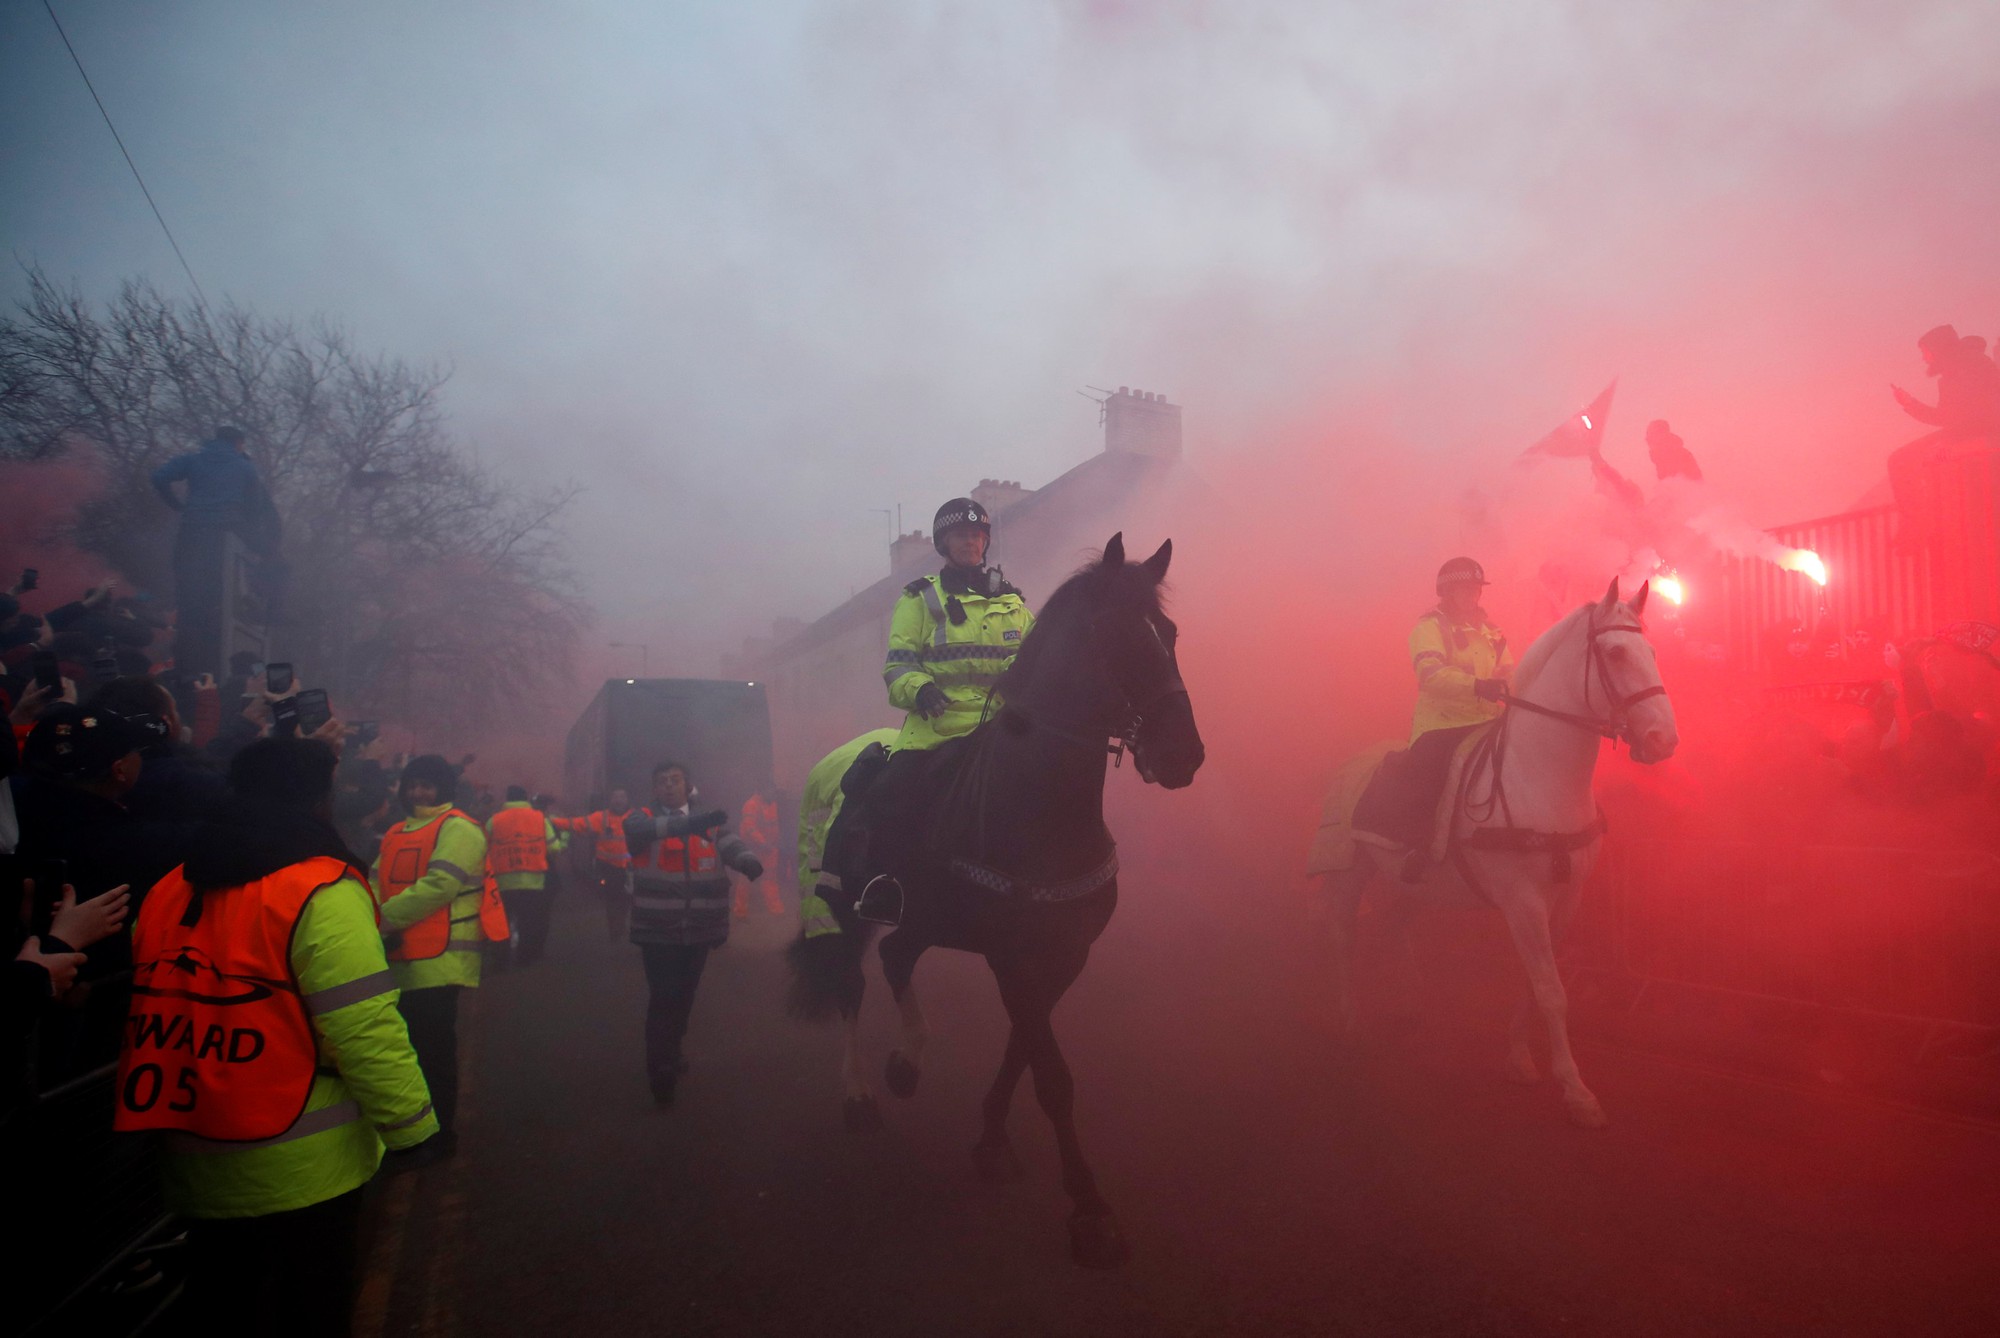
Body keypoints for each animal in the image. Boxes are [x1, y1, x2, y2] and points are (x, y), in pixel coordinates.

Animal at [788, 528, 1200, 1264]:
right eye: (1115, 634)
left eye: (1170, 633)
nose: (1183, 753)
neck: (1034, 801)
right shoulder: (1013, 956)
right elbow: (1052, 1075)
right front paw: (1089, 1208)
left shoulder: (1062, 955)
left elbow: (1022, 1049)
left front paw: (991, 1141)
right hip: (836, 906)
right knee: (851, 984)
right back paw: (860, 1095)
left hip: (920, 915)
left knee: (896, 956)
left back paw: (906, 1063)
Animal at [1312, 580, 1672, 1120]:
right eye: (1615, 652)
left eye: (1650, 651)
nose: (1663, 740)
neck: (1538, 778)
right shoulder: (1523, 902)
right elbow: (1551, 992)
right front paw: (1575, 1089)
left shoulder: (1566, 899)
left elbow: (1534, 984)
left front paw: (1520, 1058)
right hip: (1346, 876)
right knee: (1341, 939)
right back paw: (1350, 1024)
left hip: (1415, 883)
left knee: (1395, 923)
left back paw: (1414, 1003)